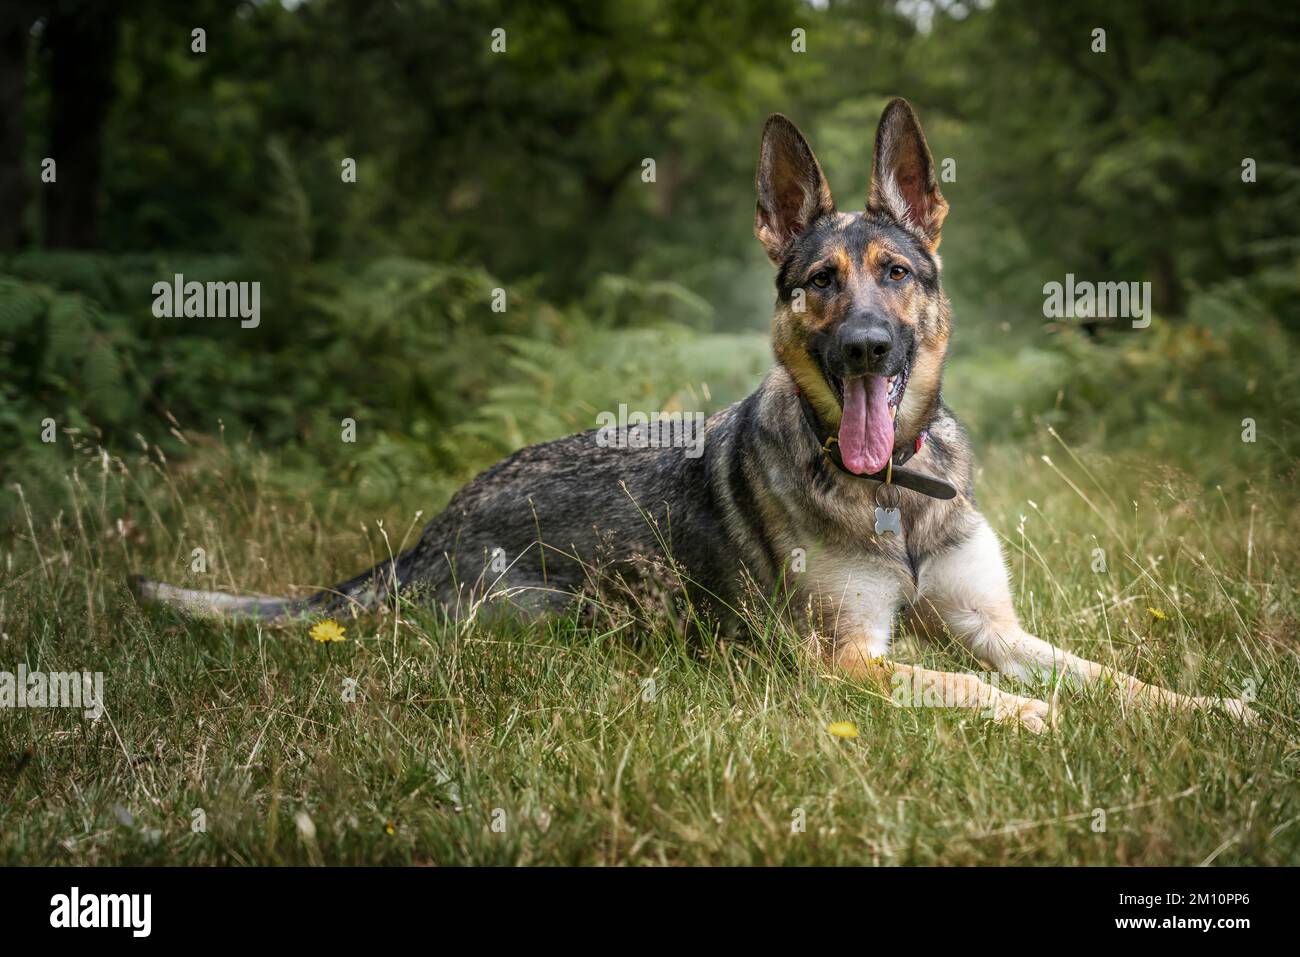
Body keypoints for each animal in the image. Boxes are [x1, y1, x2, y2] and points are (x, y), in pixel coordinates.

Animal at [137, 97, 1253, 728]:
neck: (893, 497)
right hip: (562, 611)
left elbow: (1108, 676)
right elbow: (980, 690)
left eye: (894, 274)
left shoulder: (992, 626)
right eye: (818, 282)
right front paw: (1035, 719)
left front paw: (1206, 709)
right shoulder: (849, 661)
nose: (864, 346)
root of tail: (423, 536)